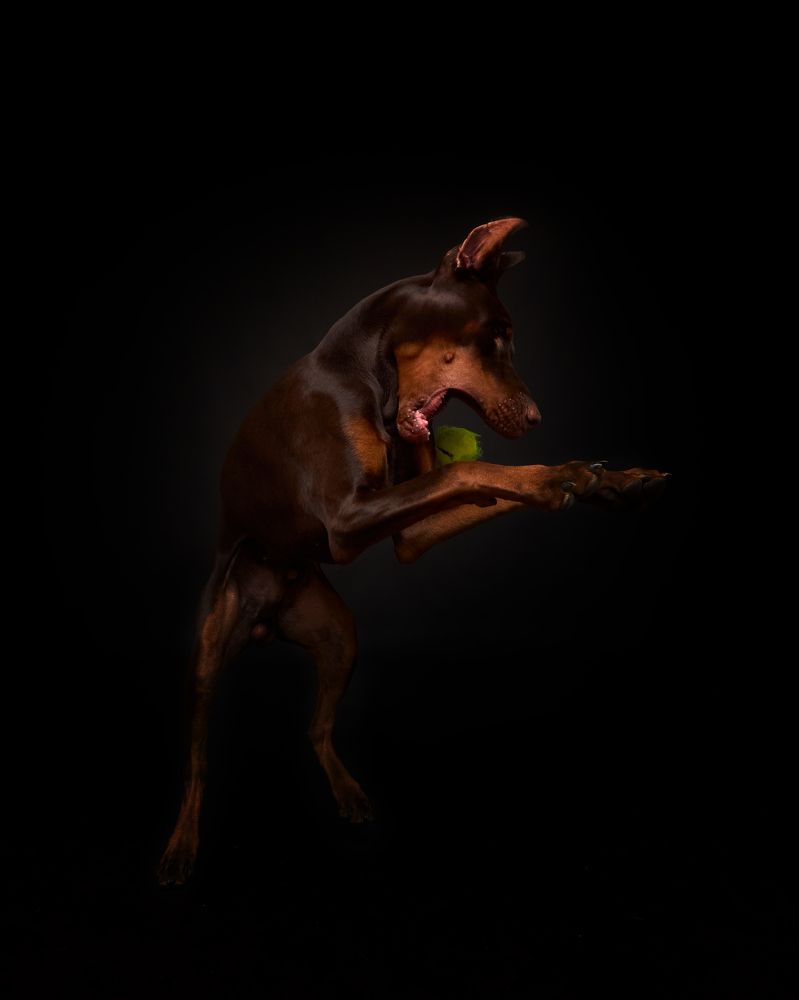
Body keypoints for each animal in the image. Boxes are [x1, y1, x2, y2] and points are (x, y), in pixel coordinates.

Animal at [157, 218, 668, 886]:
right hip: (211, 645)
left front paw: (608, 482)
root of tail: (268, 614)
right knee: (197, 761)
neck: (367, 377)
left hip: (339, 634)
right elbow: (470, 468)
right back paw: (181, 846)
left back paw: (348, 792)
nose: (536, 417)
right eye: (497, 337)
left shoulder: (408, 531)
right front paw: (560, 477)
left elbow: (473, 483)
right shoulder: (348, 520)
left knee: (316, 730)